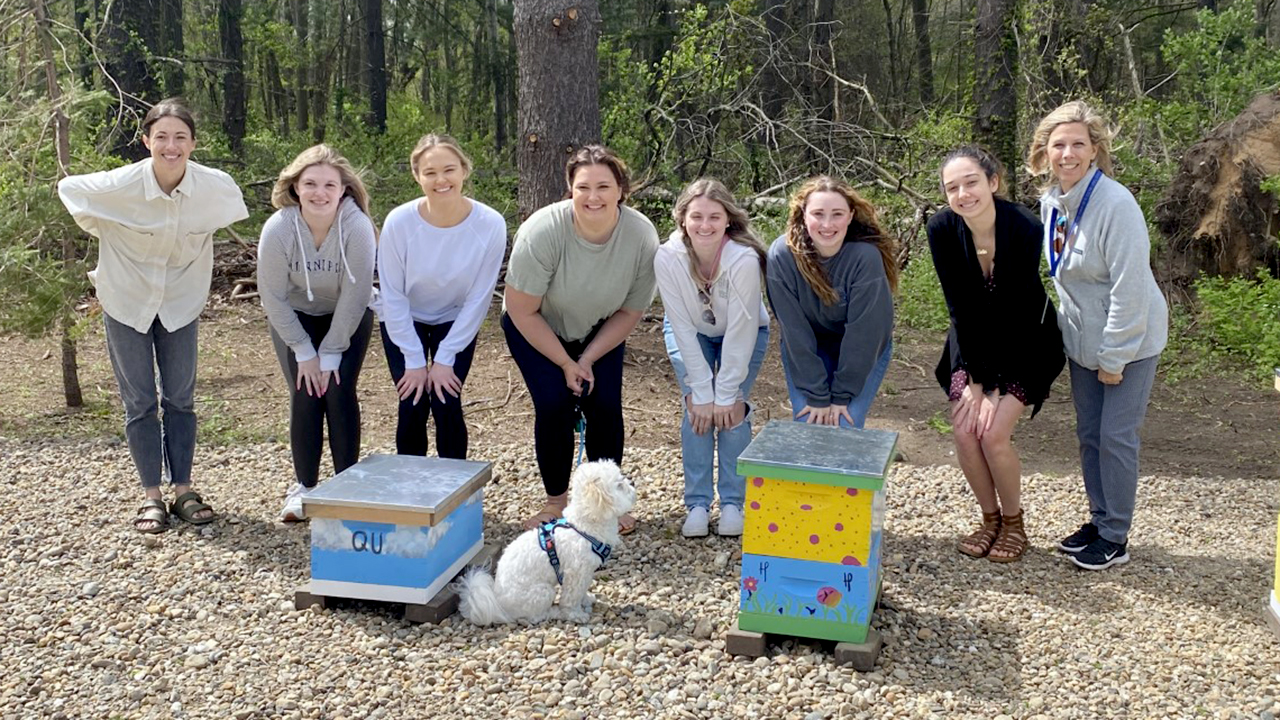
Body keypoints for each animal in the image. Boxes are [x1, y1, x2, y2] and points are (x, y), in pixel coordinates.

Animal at [460, 458, 640, 622]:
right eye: (619, 485)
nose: (632, 481)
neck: (585, 525)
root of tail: (498, 605)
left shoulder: (586, 573)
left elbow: (582, 591)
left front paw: (587, 599)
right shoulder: (576, 573)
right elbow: (572, 598)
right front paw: (575, 614)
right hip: (543, 591)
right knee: (535, 617)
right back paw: (554, 612)